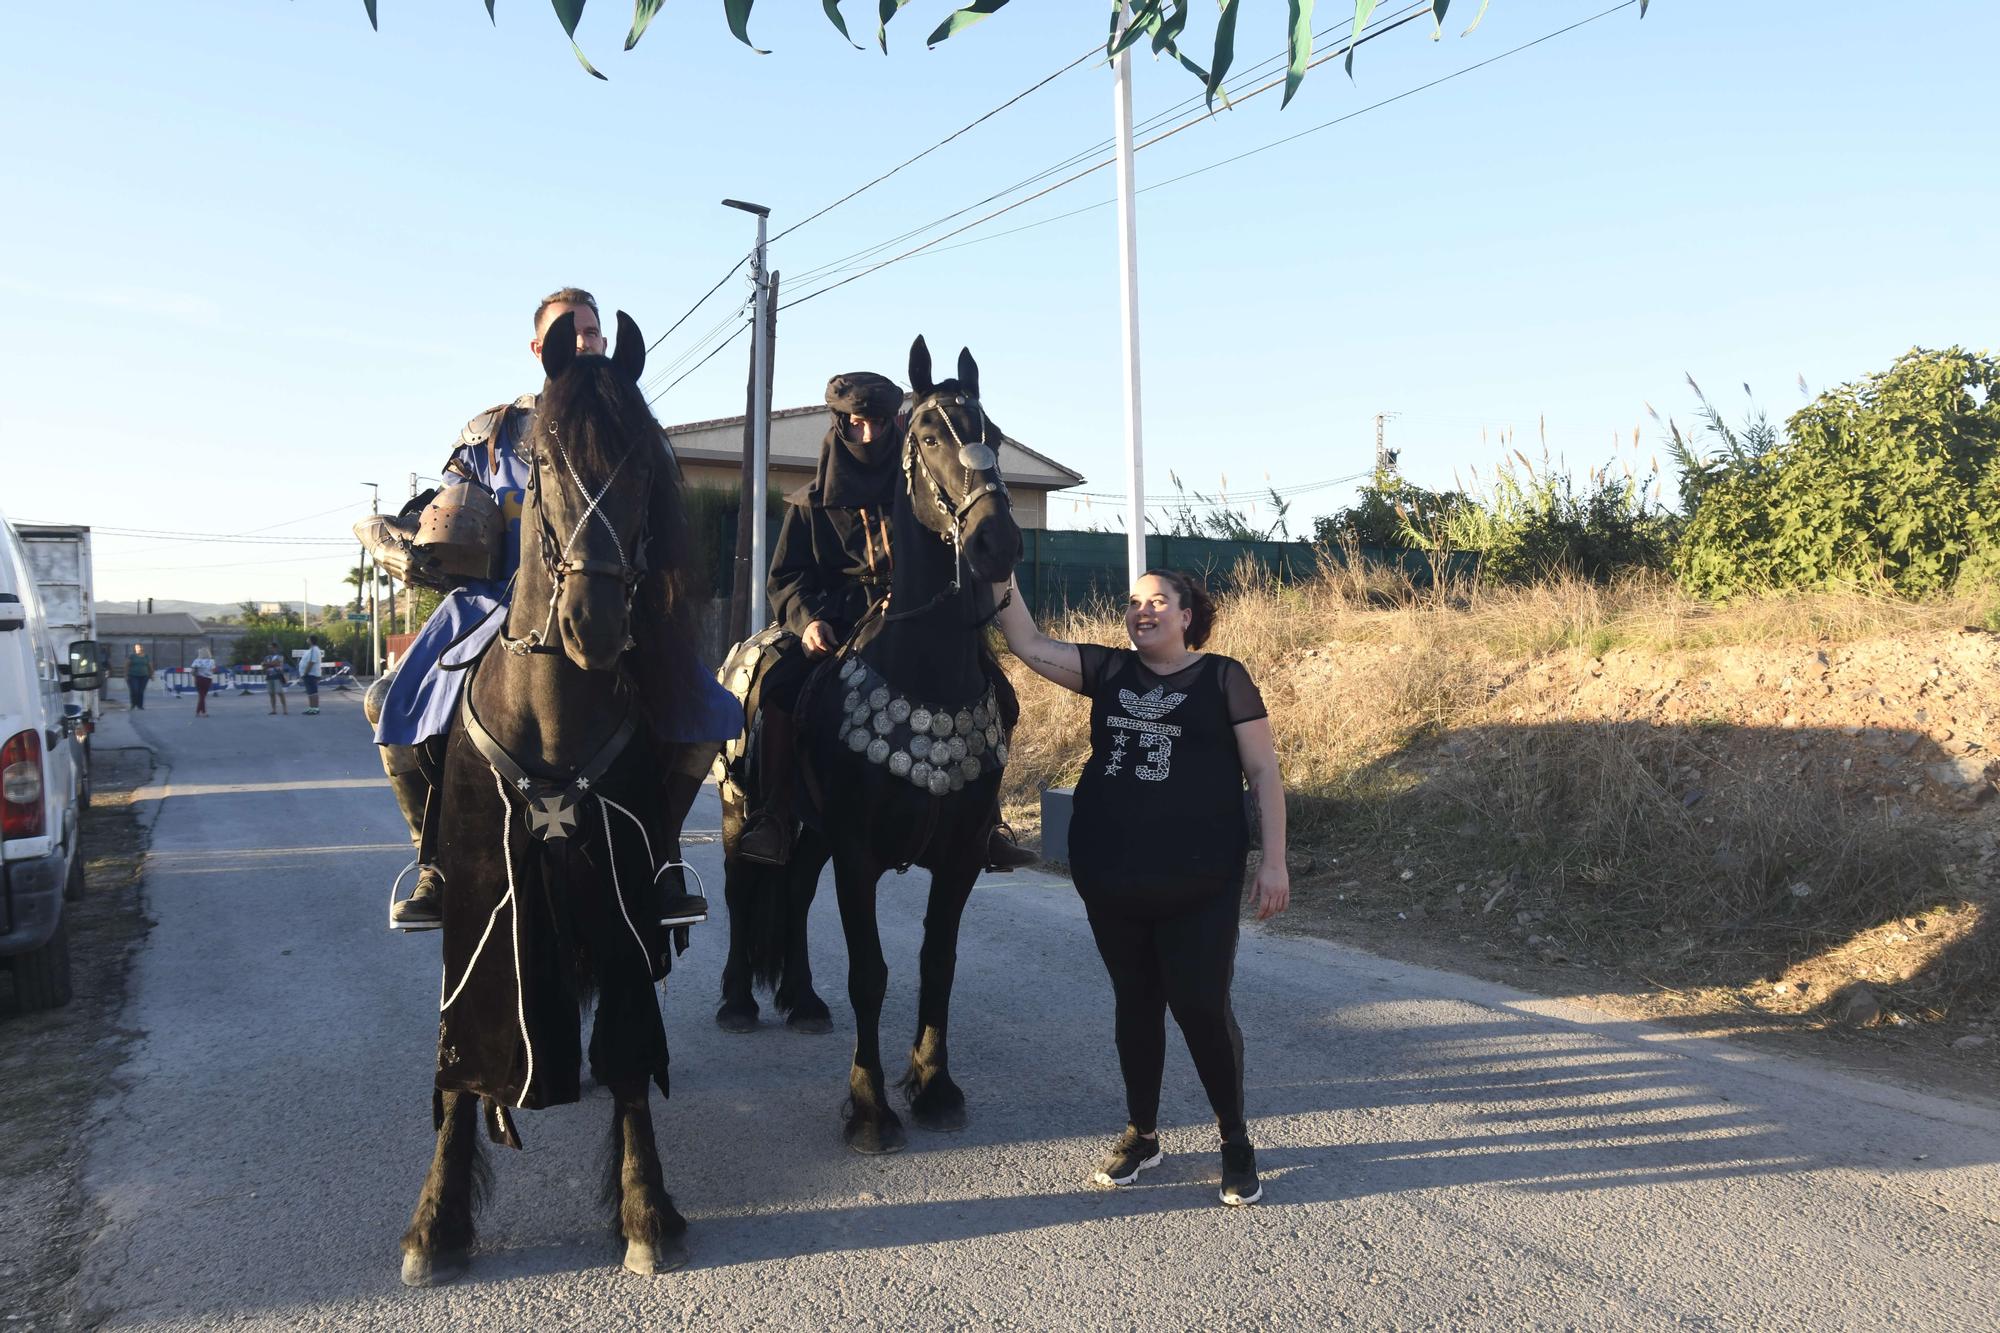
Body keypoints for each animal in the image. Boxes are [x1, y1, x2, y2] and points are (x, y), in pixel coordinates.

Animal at [398, 308, 712, 1280]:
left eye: (643, 462)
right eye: (542, 464)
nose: (595, 624)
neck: (551, 717)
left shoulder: (622, 906)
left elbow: (629, 1059)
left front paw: (646, 1208)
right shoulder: (481, 910)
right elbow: (462, 1064)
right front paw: (437, 1217)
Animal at [720, 334, 1024, 1152]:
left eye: (994, 433)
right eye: (928, 437)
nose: (996, 541)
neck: (926, 670)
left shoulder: (961, 855)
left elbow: (936, 962)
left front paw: (934, 1084)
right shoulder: (858, 852)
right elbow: (870, 972)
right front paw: (869, 1105)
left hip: (813, 831)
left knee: (793, 889)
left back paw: (800, 999)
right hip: (738, 813)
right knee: (741, 893)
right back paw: (738, 1000)